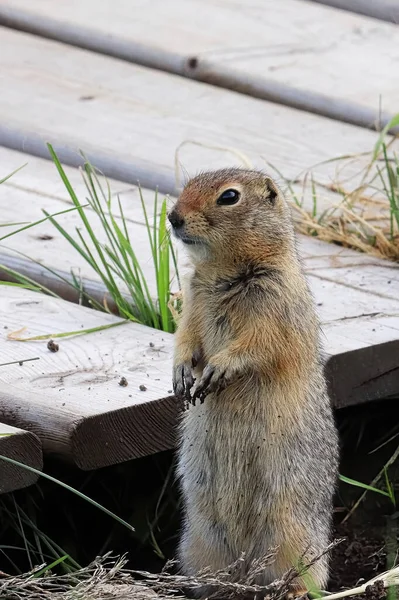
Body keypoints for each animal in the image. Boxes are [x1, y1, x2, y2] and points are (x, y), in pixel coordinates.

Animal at [167, 169, 340, 596]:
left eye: (229, 197)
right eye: (189, 182)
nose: (173, 217)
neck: (224, 272)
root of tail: (246, 569)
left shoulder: (274, 305)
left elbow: (256, 344)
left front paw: (217, 369)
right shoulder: (192, 304)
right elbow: (185, 337)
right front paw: (182, 375)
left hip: (293, 534)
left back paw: (291, 591)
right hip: (201, 538)